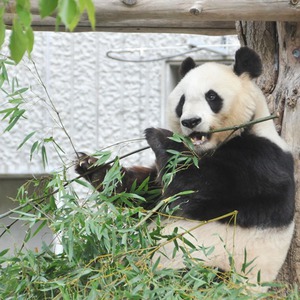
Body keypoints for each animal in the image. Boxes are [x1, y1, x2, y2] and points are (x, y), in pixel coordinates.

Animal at [75, 47, 296, 290]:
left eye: (211, 97)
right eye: (182, 101)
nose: (190, 121)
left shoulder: (260, 162)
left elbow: (193, 187)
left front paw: (159, 135)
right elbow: (144, 193)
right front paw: (90, 165)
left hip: (214, 271)